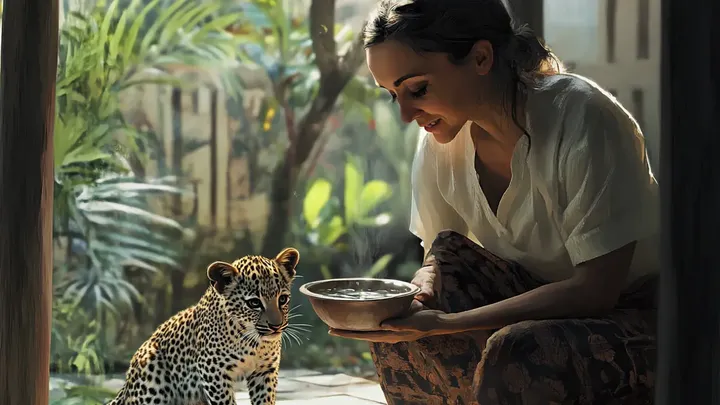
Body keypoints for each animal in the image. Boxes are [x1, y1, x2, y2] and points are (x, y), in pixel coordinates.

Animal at [106, 247, 301, 405]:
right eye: (254, 303)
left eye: (282, 299)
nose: (276, 326)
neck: (255, 343)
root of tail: (126, 385)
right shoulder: (213, 372)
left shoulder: (265, 372)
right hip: (152, 376)